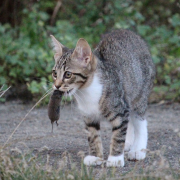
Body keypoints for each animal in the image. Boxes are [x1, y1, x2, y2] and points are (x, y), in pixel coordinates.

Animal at [50, 29, 155, 167]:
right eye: (54, 73)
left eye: (68, 74)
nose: (56, 86)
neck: (85, 91)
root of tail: (126, 31)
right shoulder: (89, 116)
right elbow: (93, 136)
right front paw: (95, 157)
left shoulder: (120, 110)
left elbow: (118, 136)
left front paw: (115, 158)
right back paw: (128, 143)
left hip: (139, 95)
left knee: (140, 121)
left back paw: (138, 150)